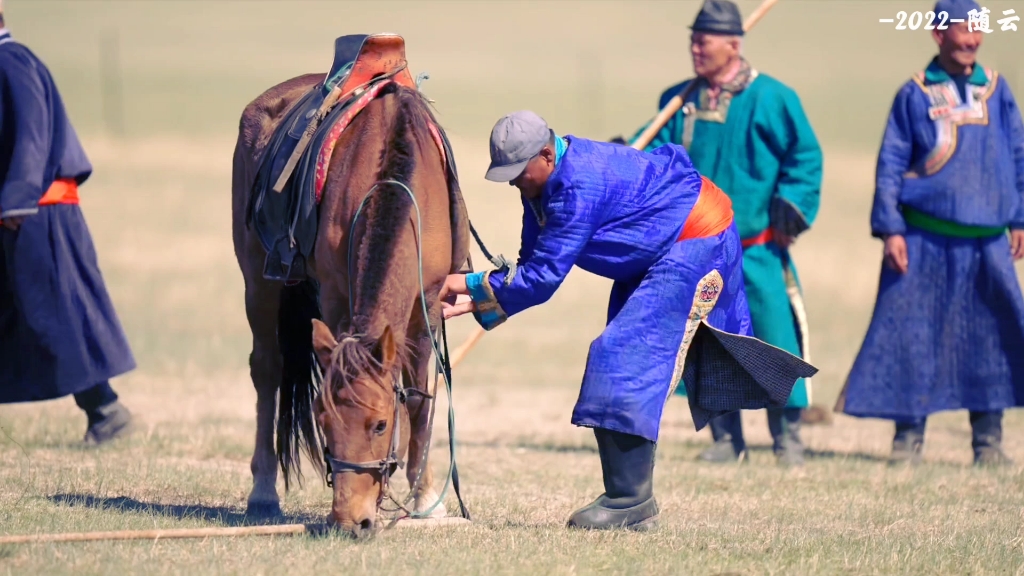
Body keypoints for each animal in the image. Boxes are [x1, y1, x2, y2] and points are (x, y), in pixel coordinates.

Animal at [230, 70, 468, 532]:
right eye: (324, 421)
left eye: (380, 425)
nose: (350, 520)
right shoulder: (336, 293)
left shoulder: (428, 303)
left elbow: (418, 396)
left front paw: (427, 500)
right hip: (257, 279)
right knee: (267, 371)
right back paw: (263, 491)